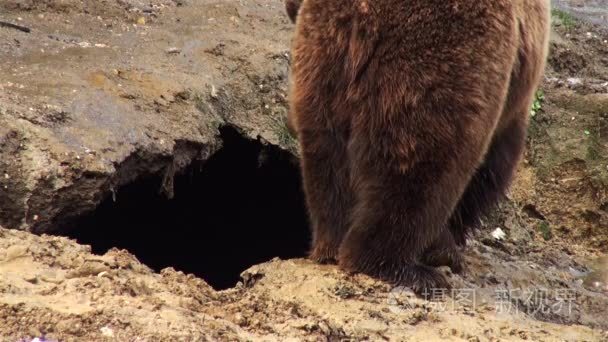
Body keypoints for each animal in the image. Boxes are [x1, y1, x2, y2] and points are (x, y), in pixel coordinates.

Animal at [284, 0, 552, 292]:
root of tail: (361, 17)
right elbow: (493, 166)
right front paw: (445, 246)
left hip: (324, 61)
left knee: (325, 155)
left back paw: (330, 246)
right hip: (438, 56)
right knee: (422, 161)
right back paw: (405, 269)